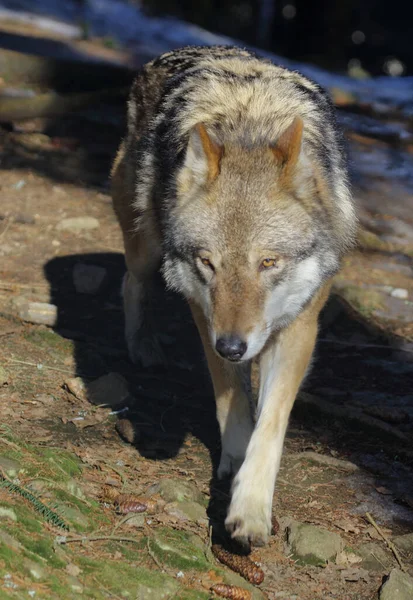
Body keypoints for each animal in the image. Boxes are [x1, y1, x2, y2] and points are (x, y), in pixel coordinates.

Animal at [111, 44, 356, 548]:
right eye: (209, 262)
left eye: (268, 263)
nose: (232, 346)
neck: (250, 127)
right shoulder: (205, 313)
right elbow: (232, 399)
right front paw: (234, 456)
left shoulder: (300, 325)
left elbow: (272, 421)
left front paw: (250, 508)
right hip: (147, 244)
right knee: (132, 280)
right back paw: (142, 346)